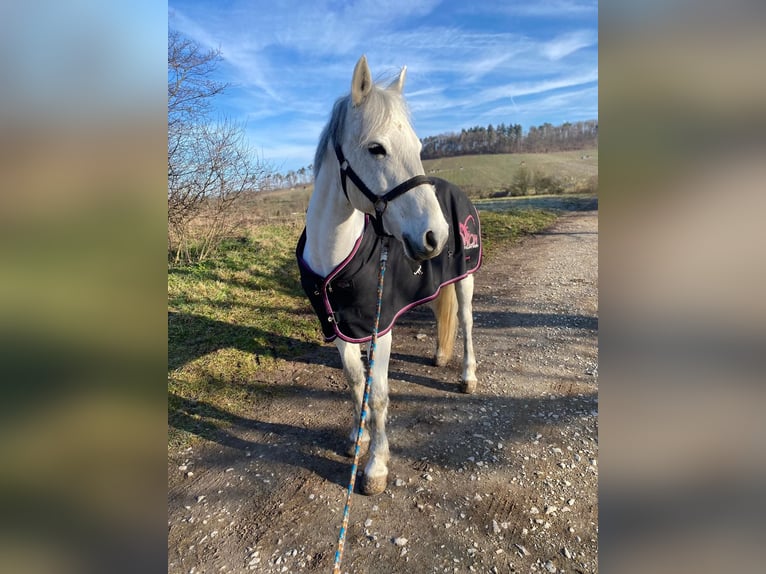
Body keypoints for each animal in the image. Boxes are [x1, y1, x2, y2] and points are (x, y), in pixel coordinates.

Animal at [297, 56, 481, 495]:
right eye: (376, 148)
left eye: (418, 148)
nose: (436, 235)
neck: (335, 258)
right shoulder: (339, 327)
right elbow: (354, 381)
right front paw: (357, 438)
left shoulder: (379, 327)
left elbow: (377, 393)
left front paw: (376, 466)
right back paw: (439, 355)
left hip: (464, 279)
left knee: (466, 322)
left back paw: (467, 375)